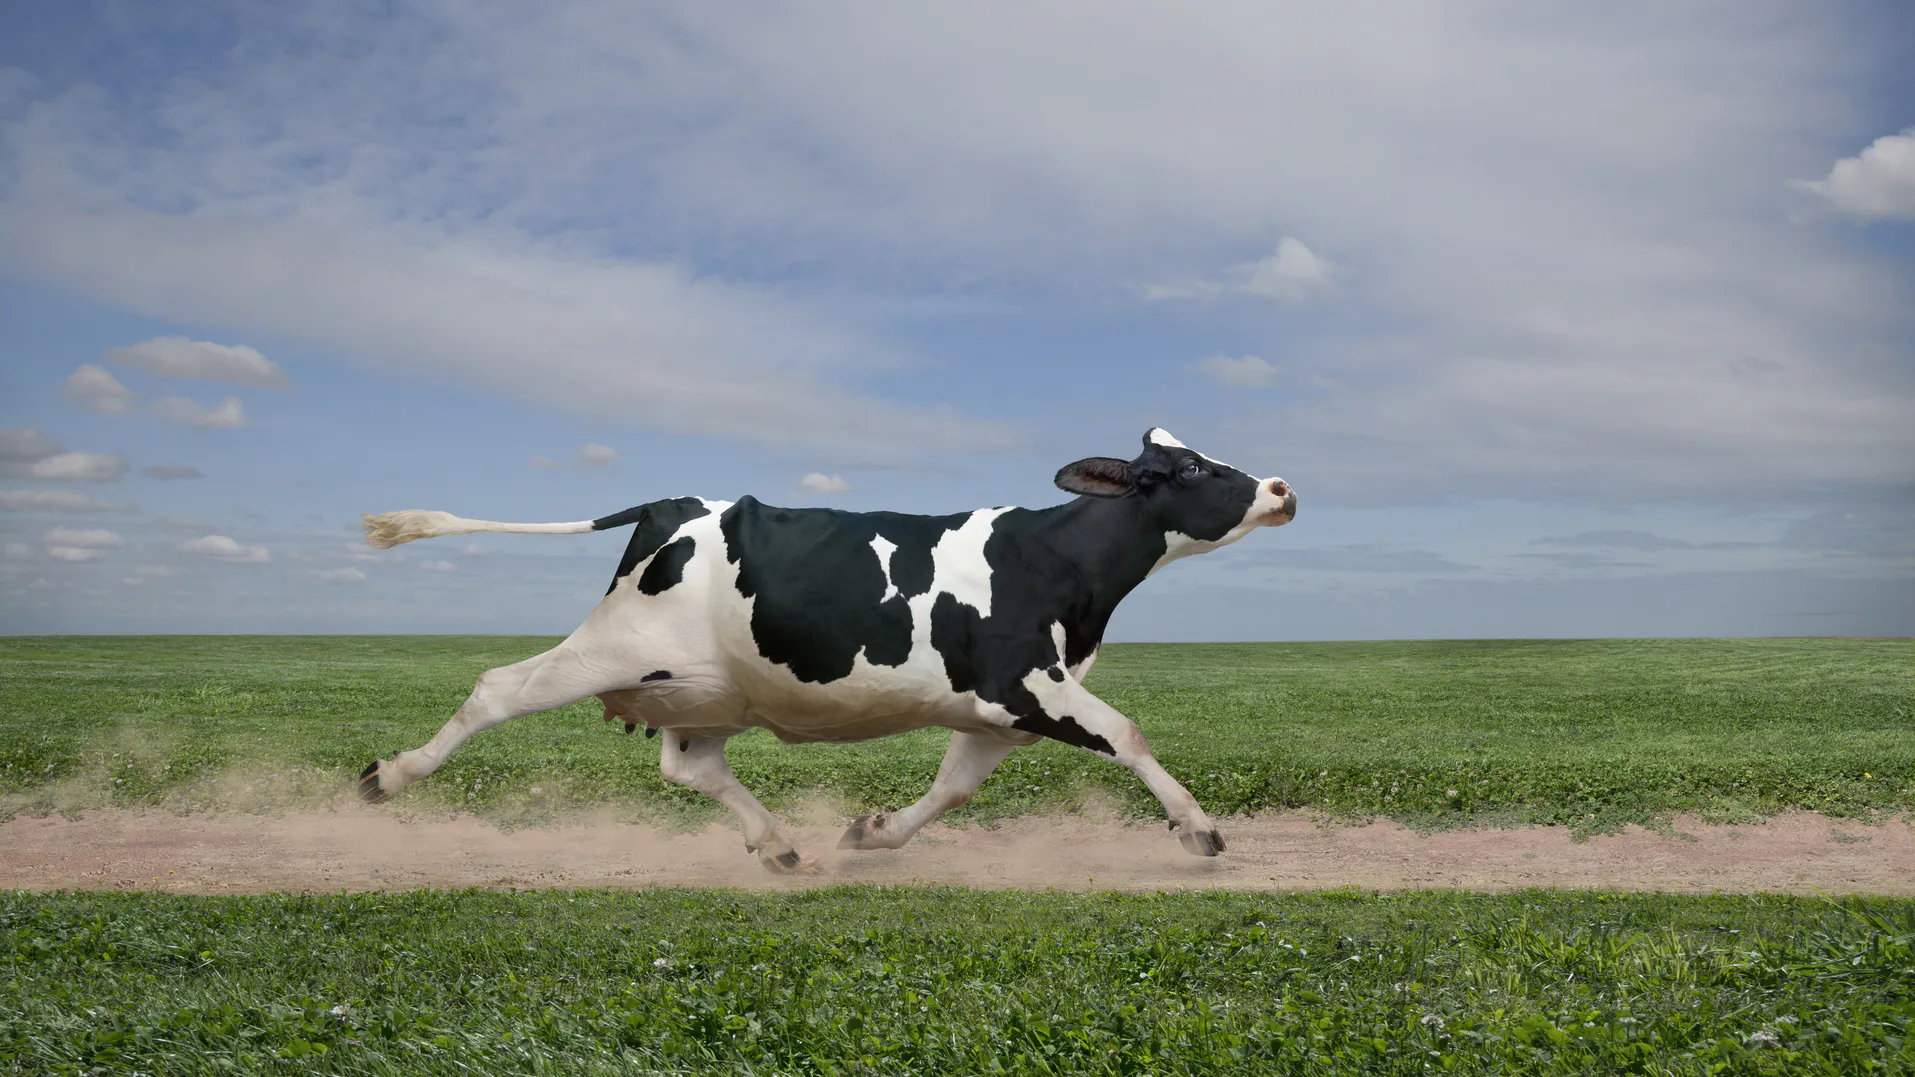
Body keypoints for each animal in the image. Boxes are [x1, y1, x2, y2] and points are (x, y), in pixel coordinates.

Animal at [356, 428, 1296, 871]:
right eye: (1188, 470)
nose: (1281, 488)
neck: (1057, 560)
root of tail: (671, 503)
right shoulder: (1029, 683)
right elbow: (1129, 733)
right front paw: (1198, 830)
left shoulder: (994, 709)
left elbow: (952, 788)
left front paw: (871, 833)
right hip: (614, 647)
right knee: (496, 687)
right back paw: (387, 776)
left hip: (705, 687)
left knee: (691, 765)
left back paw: (777, 844)